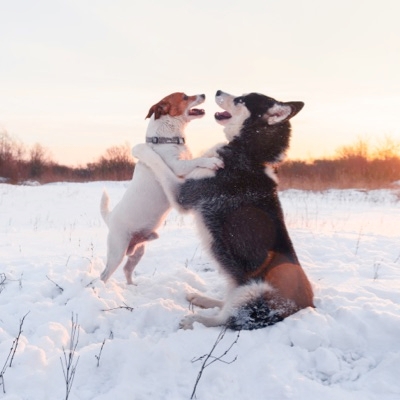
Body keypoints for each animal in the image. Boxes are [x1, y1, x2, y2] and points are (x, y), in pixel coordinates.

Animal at [99, 92, 222, 282]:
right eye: (185, 97)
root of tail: (110, 218)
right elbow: (198, 160)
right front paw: (212, 162)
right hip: (117, 252)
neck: (167, 140)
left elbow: (202, 154)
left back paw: (132, 286)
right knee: (104, 275)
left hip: (138, 250)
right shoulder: (178, 168)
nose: (203, 94)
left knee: (127, 269)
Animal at [133, 91, 314, 332]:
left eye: (241, 100)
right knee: (225, 303)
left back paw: (194, 320)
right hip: (239, 287)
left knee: (225, 320)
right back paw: (201, 299)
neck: (250, 153)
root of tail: (308, 306)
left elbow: (158, 162)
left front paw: (142, 149)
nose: (217, 91)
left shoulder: (183, 194)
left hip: (251, 292)